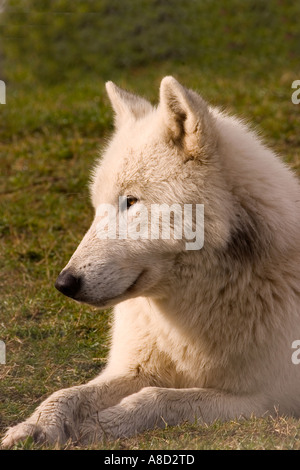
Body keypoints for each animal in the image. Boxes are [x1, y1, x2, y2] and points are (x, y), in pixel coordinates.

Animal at [2, 75, 300, 446]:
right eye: (97, 206)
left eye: (130, 201)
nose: (64, 283)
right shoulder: (134, 367)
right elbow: (67, 393)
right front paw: (36, 425)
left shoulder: (267, 399)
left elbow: (159, 398)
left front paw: (97, 426)